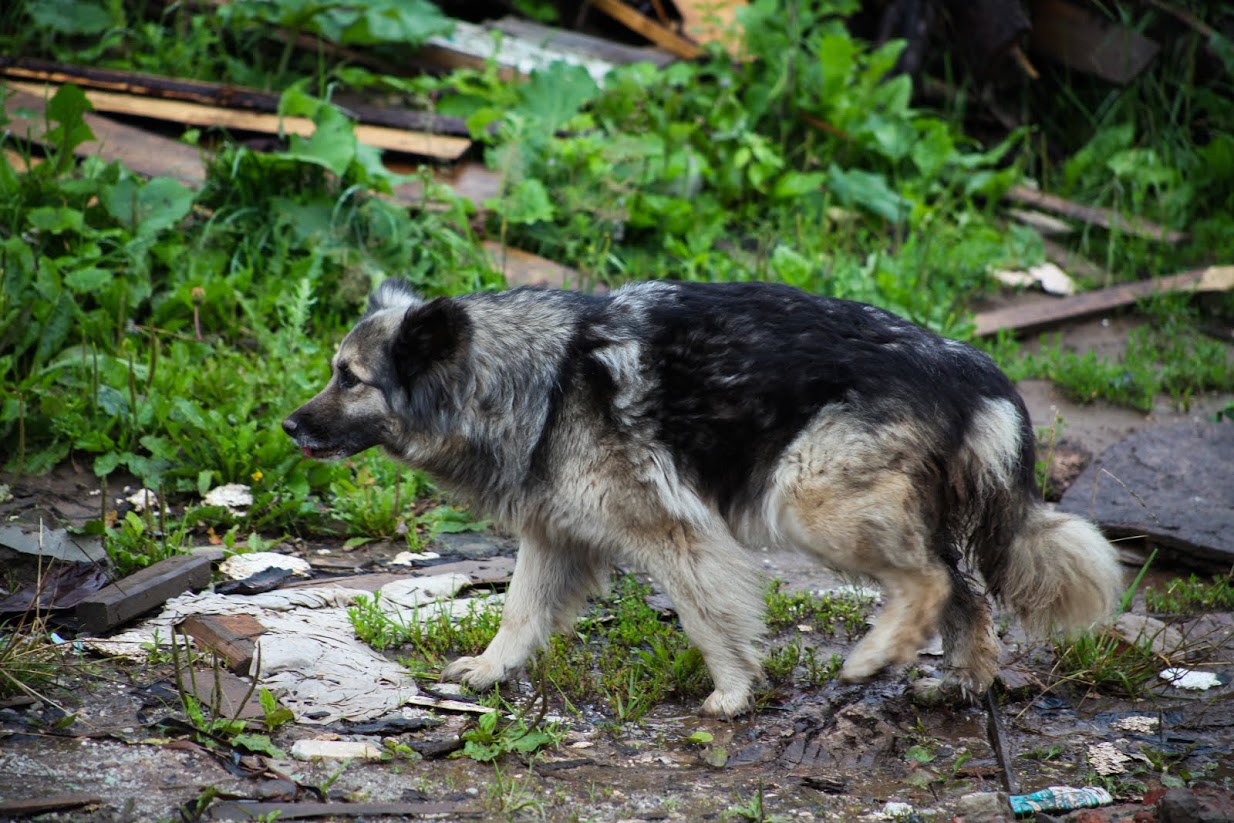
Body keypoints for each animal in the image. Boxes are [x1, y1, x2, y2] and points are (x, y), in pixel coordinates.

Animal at [283, 280, 1125, 715]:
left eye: (349, 378)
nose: (287, 425)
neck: (540, 381)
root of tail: (973, 373)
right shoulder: (555, 537)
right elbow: (519, 612)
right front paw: (490, 672)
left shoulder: (672, 533)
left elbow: (707, 617)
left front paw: (733, 693)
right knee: (966, 596)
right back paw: (960, 681)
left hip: (808, 496)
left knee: (930, 580)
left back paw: (872, 656)